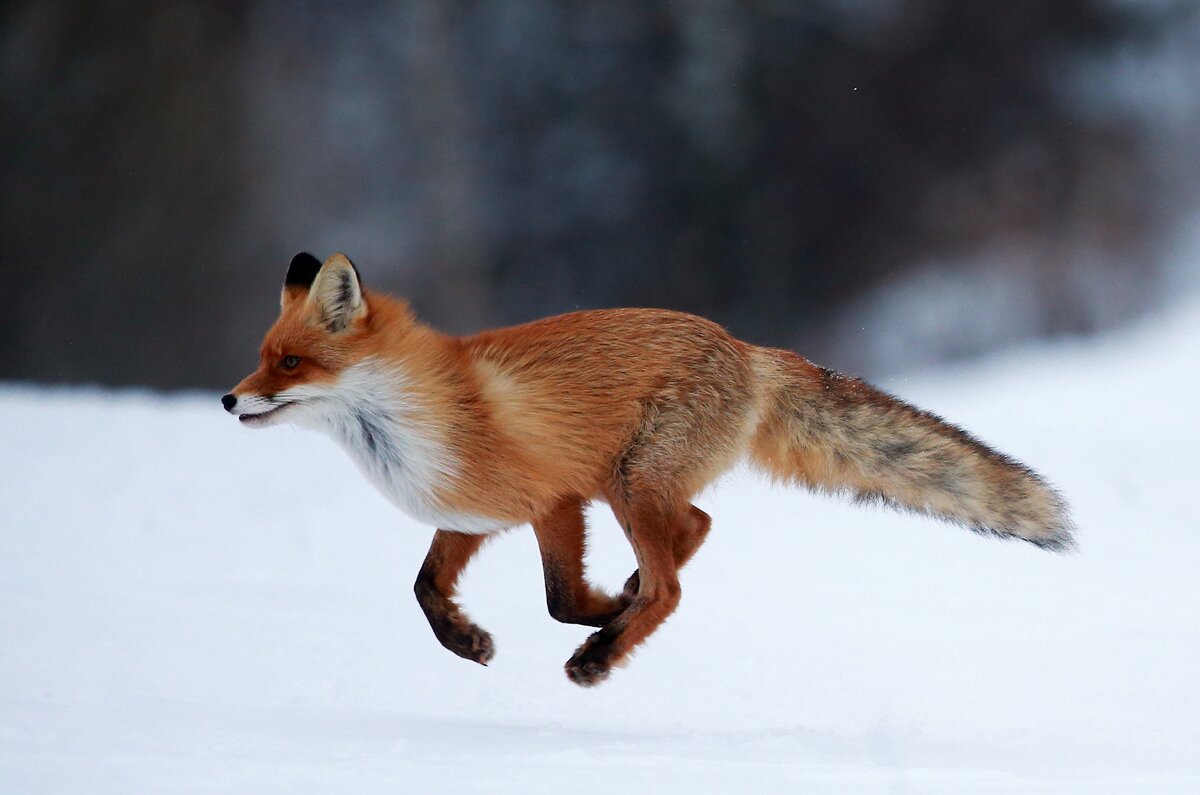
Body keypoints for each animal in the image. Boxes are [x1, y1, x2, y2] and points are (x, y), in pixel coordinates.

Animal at [225, 253, 1080, 686]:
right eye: (262, 355)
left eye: (290, 362)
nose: (231, 398)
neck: (419, 417)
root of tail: (748, 348)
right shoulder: (474, 516)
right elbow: (428, 589)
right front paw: (470, 642)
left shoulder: (555, 498)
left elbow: (561, 598)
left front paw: (600, 620)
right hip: (635, 484)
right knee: (694, 528)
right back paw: (625, 604)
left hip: (628, 482)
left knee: (673, 579)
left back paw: (602, 654)